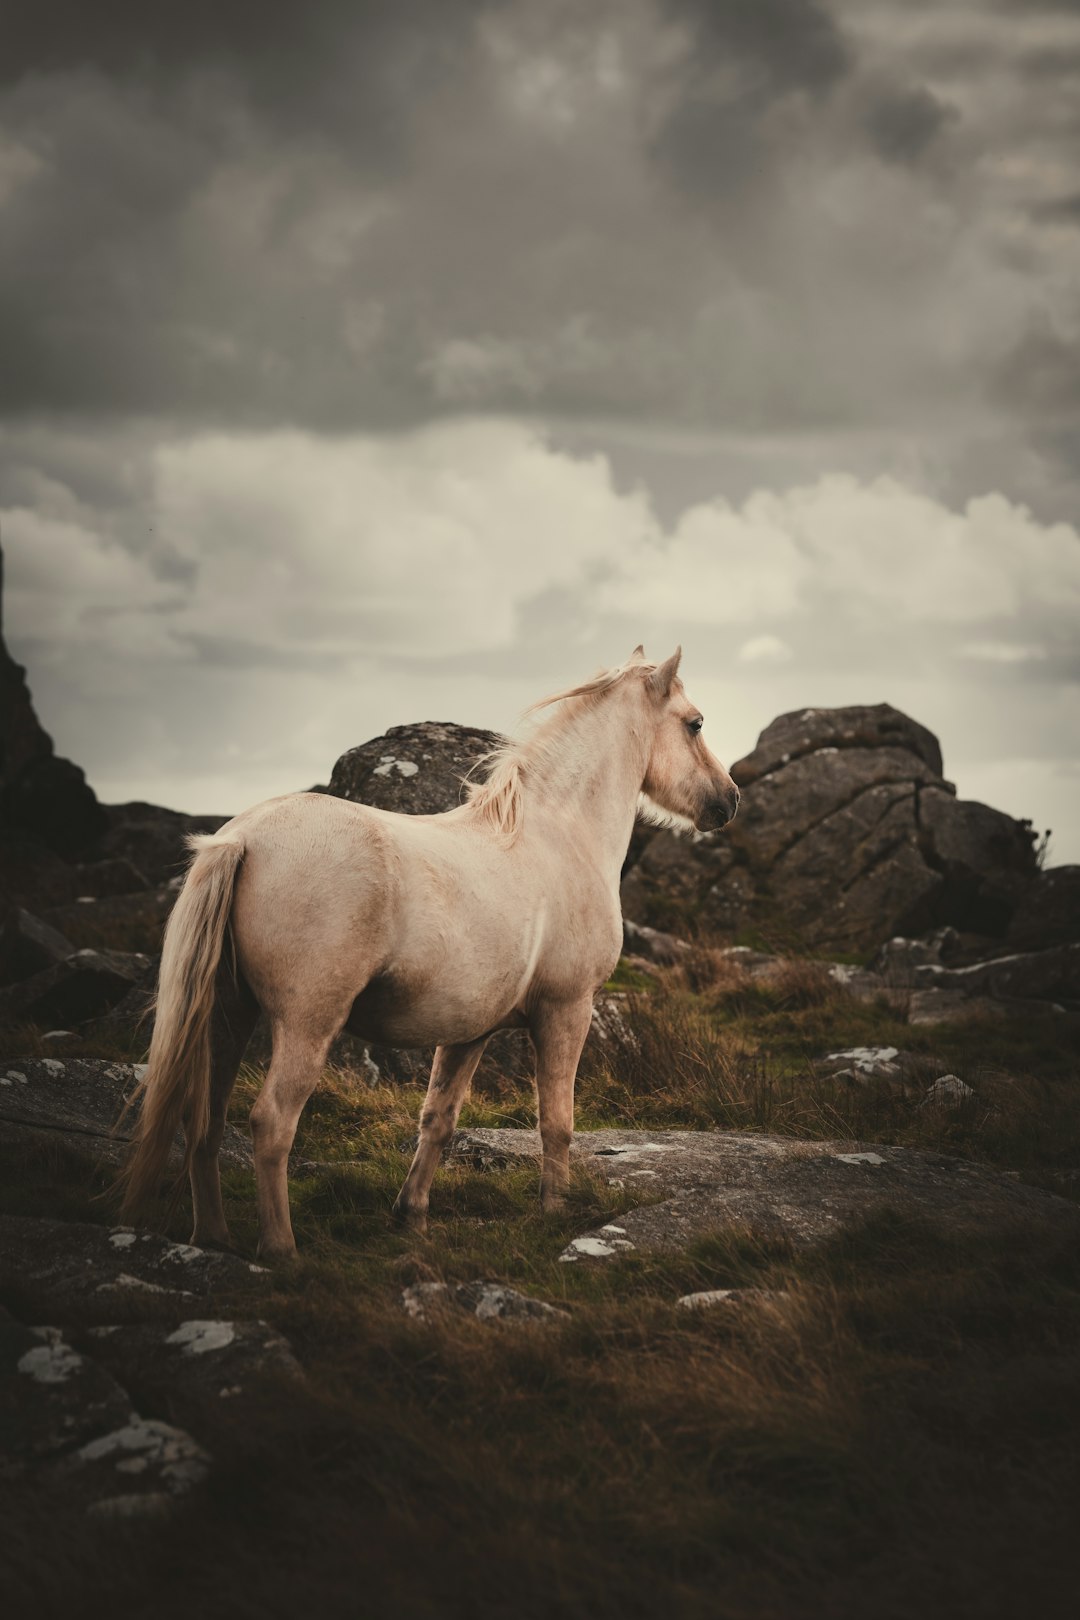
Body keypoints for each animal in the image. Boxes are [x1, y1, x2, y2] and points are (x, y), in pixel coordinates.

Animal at [120, 651, 744, 1257]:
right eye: (695, 724)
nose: (729, 799)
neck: (558, 836)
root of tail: (241, 839)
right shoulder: (567, 1009)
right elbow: (557, 1122)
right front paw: (554, 1213)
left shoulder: (469, 1031)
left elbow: (438, 1121)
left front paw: (411, 1216)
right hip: (306, 1023)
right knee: (271, 1124)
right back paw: (281, 1250)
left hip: (228, 1016)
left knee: (205, 1118)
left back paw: (214, 1237)